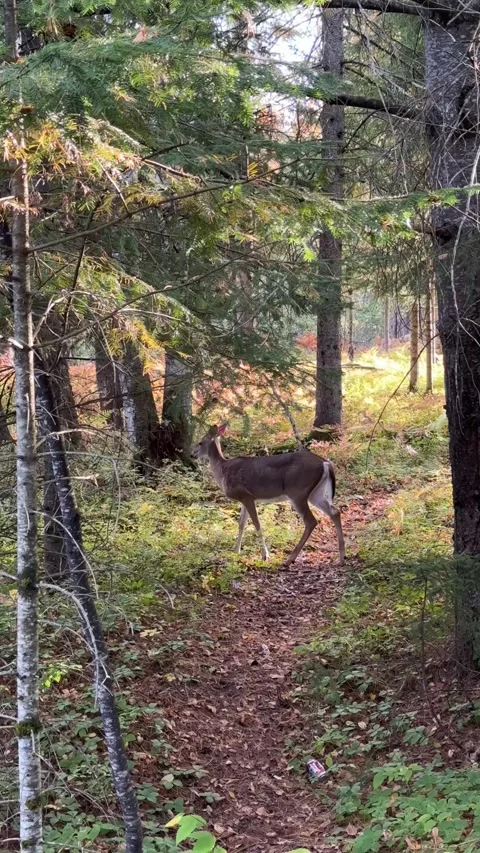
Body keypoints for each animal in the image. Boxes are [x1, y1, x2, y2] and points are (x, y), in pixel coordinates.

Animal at [192, 423, 345, 567]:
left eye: (200, 442)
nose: (192, 454)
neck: (223, 470)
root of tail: (325, 463)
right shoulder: (245, 499)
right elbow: (241, 524)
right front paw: (236, 552)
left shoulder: (246, 495)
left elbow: (256, 524)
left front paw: (265, 555)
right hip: (316, 493)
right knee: (335, 512)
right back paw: (342, 557)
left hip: (298, 491)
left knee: (311, 521)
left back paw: (289, 559)